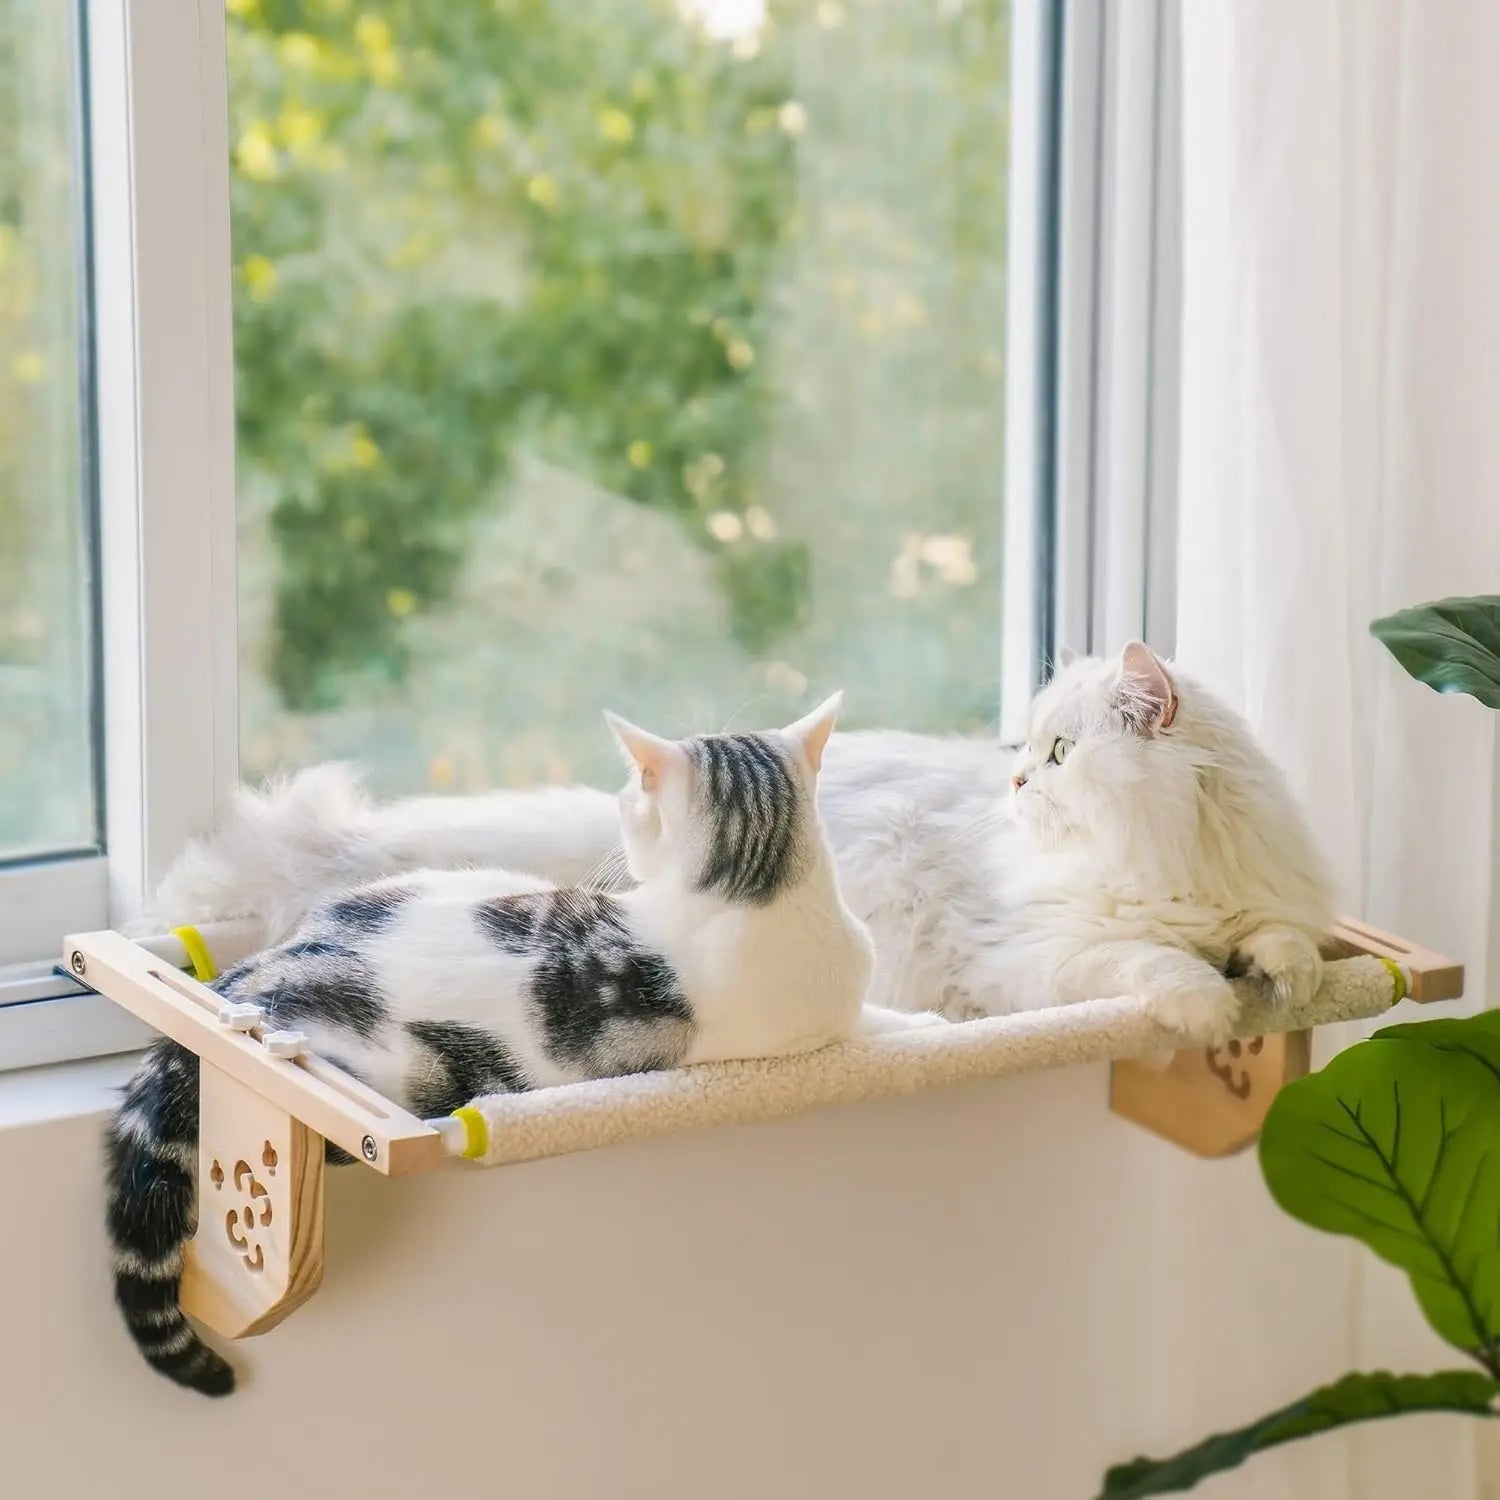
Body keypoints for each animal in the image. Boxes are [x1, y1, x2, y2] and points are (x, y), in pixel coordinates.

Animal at [108, 699, 924, 1392]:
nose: (620, 820)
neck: (748, 889)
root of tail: (258, 975)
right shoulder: (825, 1021)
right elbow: (879, 1020)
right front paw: (921, 1024)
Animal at [161, 645, 1338, 1044]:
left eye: (1057, 752)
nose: (1013, 782)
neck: (1178, 856)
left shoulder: (1267, 899)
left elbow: (1286, 943)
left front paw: (1284, 985)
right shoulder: (1032, 953)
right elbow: (1150, 964)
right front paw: (1208, 1008)